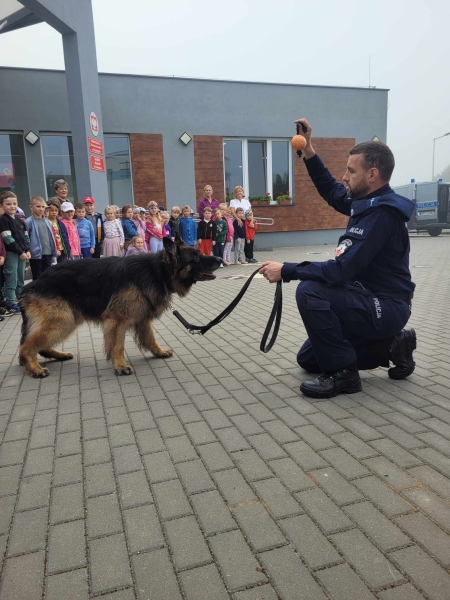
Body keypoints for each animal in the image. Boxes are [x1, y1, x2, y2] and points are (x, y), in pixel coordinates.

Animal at [20, 237, 221, 378]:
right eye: (195, 256)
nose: (219, 258)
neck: (157, 272)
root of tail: (35, 282)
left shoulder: (142, 318)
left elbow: (150, 338)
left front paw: (159, 352)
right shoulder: (118, 321)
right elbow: (117, 345)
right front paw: (120, 365)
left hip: (64, 320)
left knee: (40, 346)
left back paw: (58, 355)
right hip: (63, 320)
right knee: (26, 347)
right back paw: (35, 369)